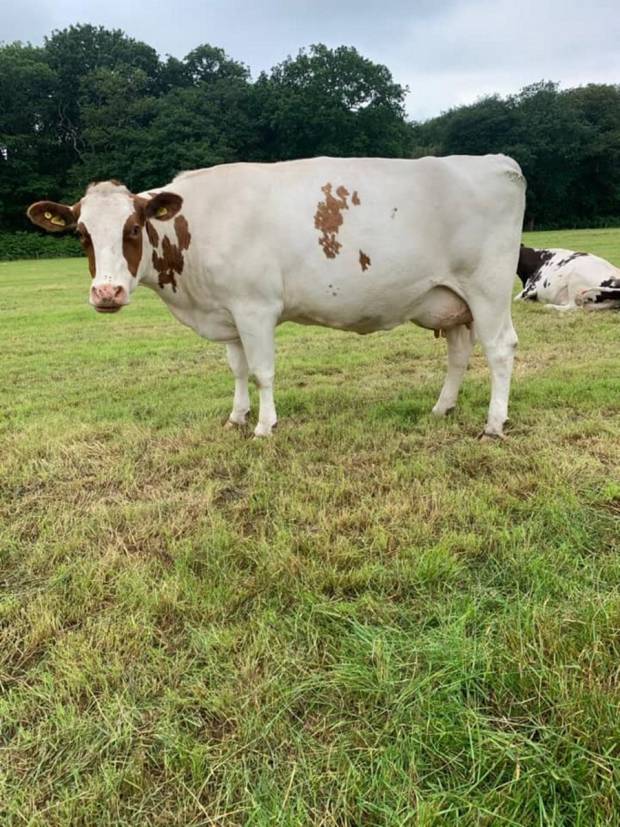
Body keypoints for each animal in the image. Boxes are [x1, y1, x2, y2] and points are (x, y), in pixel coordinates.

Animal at [26, 155, 524, 440]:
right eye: (81, 234)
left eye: (132, 229)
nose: (106, 291)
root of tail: (496, 160)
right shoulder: (226, 312)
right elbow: (238, 369)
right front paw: (237, 417)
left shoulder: (255, 308)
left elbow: (263, 371)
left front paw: (265, 426)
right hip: (452, 300)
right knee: (459, 353)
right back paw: (443, 408)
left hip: (488, 289)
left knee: (500, 350)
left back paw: (494, 425)